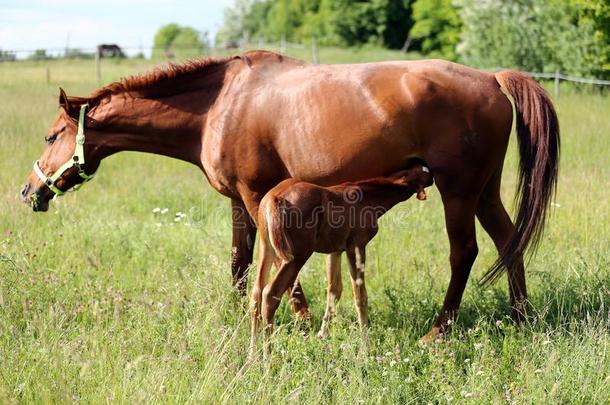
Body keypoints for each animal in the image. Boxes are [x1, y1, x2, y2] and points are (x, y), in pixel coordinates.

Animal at [248, 163, 432, 356]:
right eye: (423, 174)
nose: (433, 174)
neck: (369, 198)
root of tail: (274, 198)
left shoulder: (335, 250)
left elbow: (335, 290)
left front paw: (322, 335)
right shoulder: (356, 246)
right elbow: (360, 296)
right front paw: (365, 347)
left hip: (266, 246)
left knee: (256, 293)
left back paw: (252, 355)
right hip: (297, 254)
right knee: (270, 293)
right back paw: (268, 356)